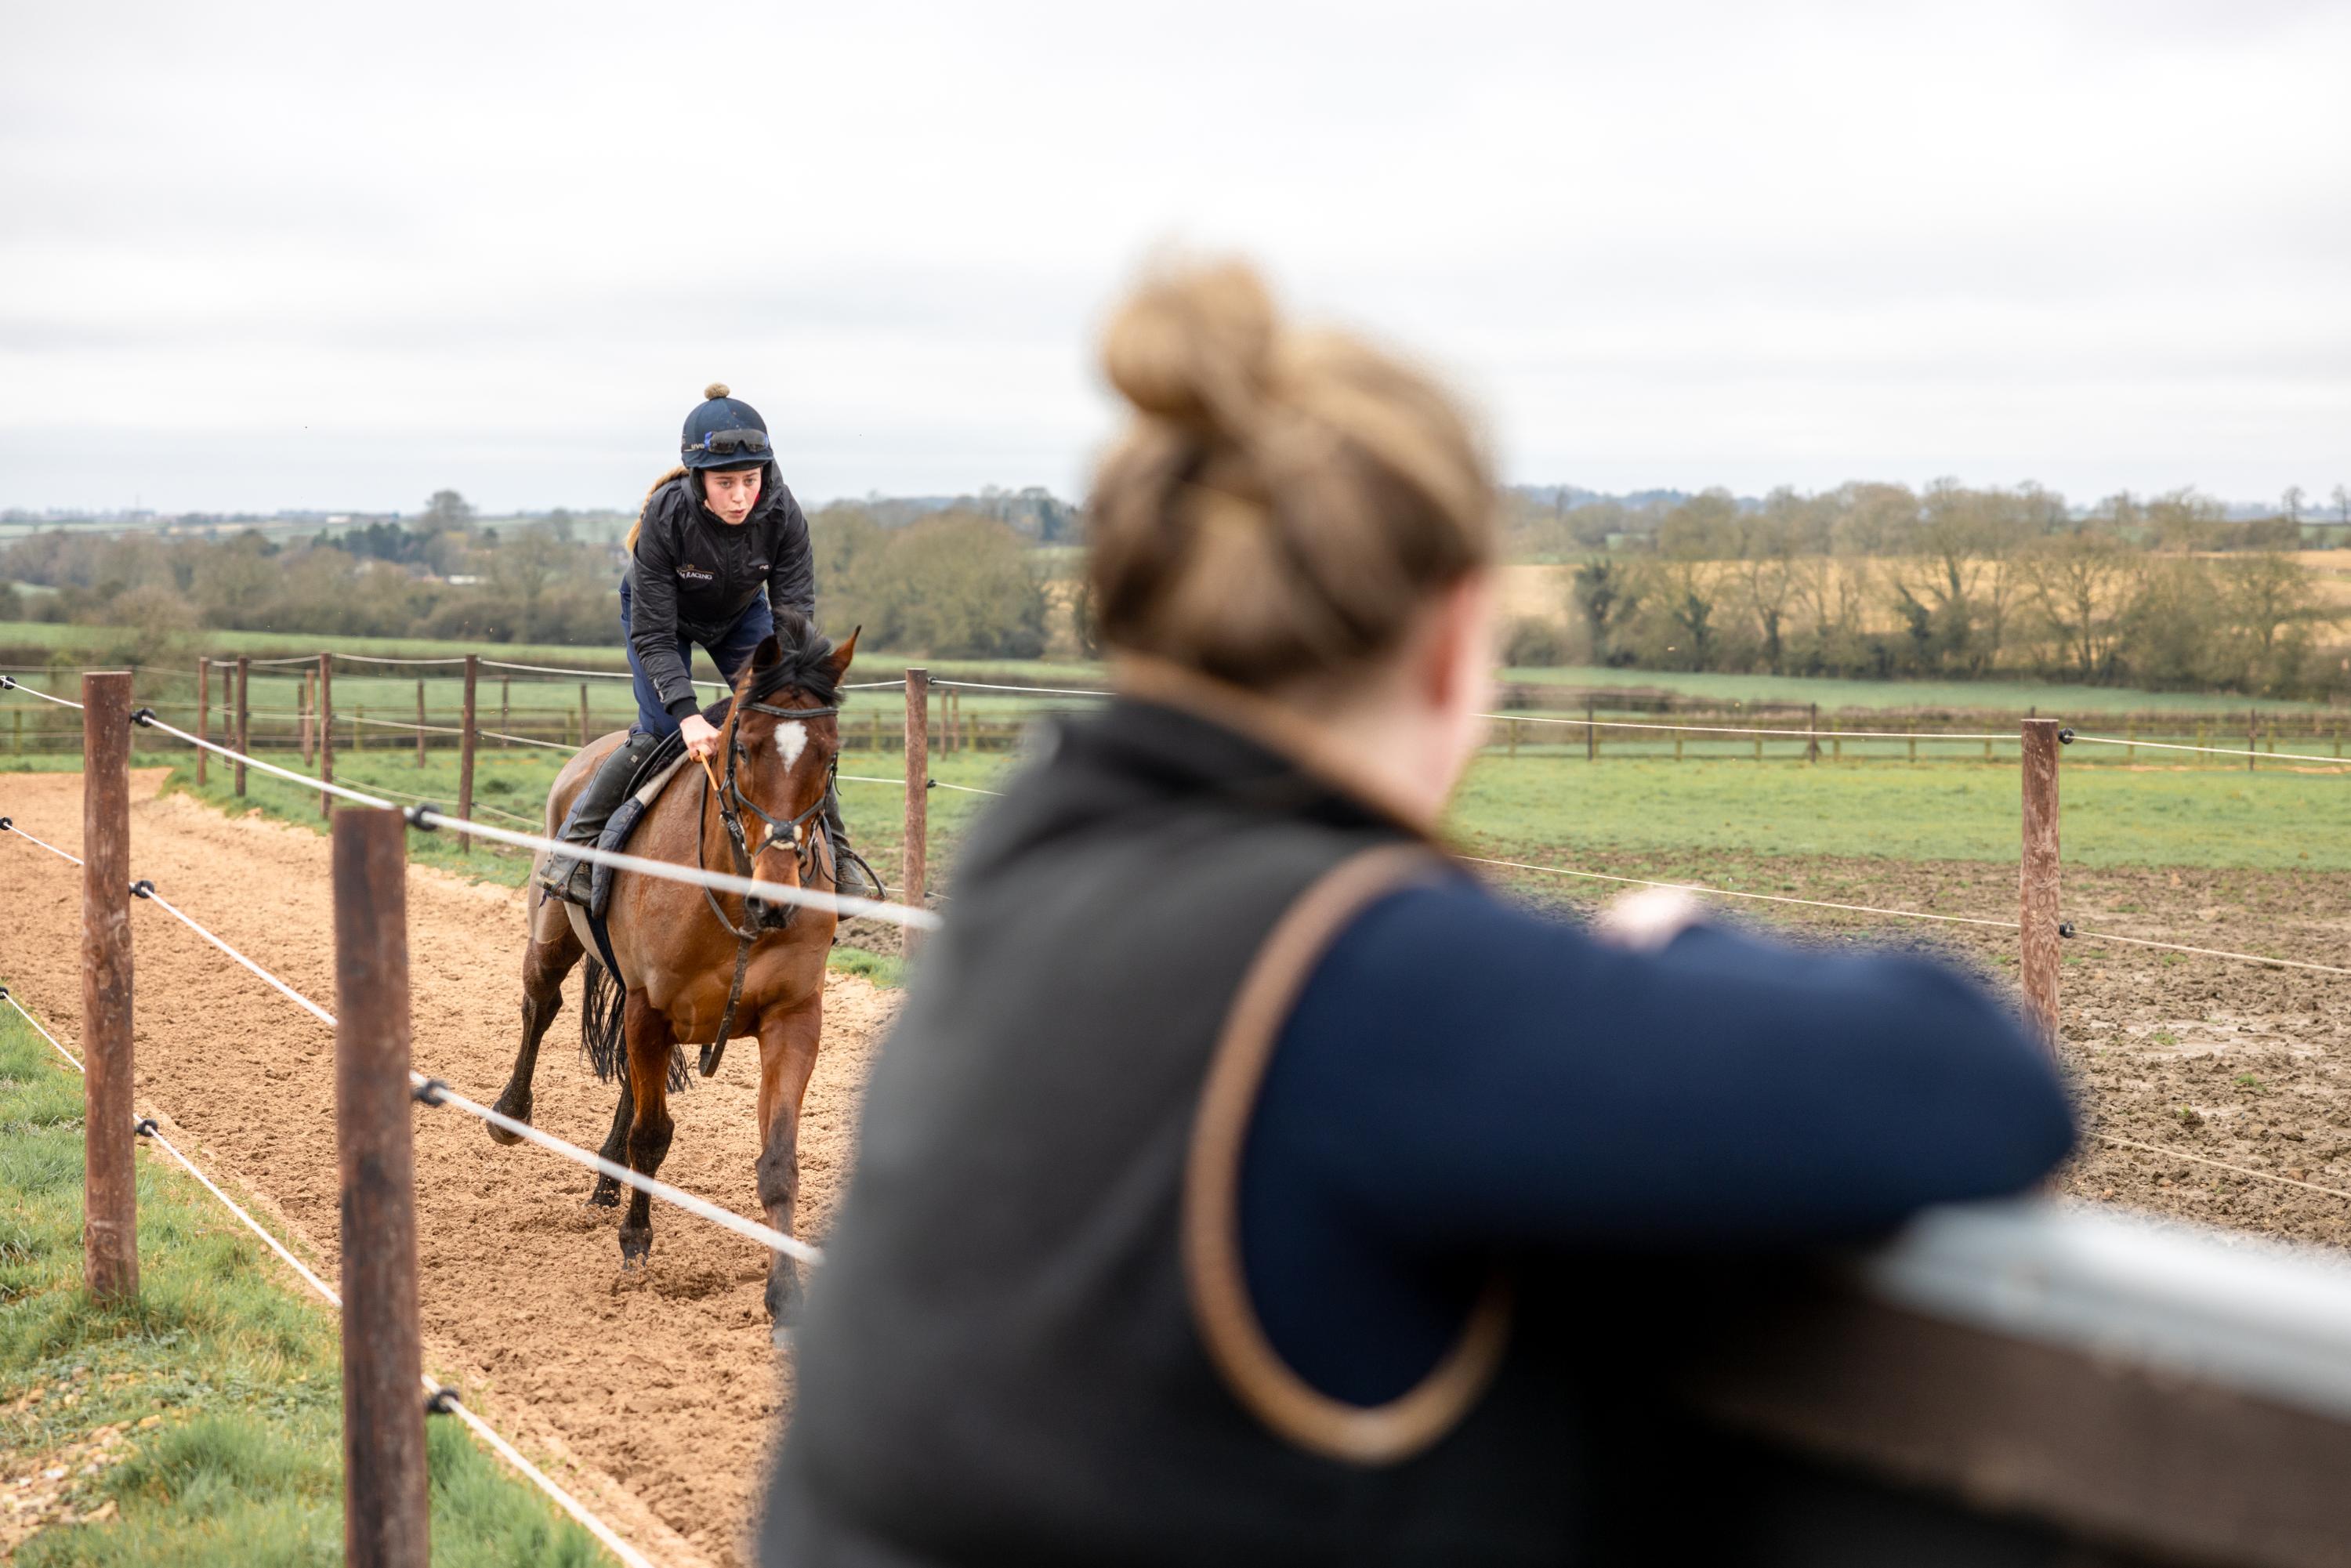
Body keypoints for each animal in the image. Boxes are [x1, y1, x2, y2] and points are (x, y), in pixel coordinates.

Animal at [484, 621, 856, 1335]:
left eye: (828, 757)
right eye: (744, 747)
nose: (778, 899)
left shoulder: (793, 1018)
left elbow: (778, 1161)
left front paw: (785, 1295)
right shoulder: (648, 1006)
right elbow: (652, 1136)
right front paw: (635, 1243)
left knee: (630, 1080)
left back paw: (605, 1178)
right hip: (554, 937)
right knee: (540, 1006)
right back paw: (510, 1115)